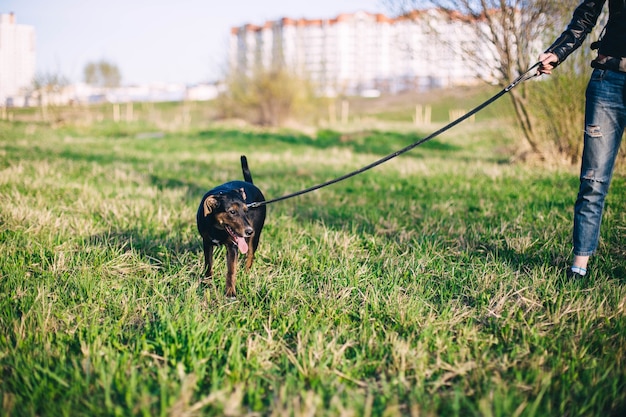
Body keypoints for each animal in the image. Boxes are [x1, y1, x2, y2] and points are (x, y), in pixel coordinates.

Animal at [194, 155, 264, 296]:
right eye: (232, 212)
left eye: (246, 210)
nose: (249, 231)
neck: (217, 228)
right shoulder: (207, 242)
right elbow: (208, 265)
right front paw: (207, 284)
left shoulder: (233, 246)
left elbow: (231, 270)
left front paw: (230, 293)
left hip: (255, 238)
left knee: (250, 256)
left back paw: (246, 274)